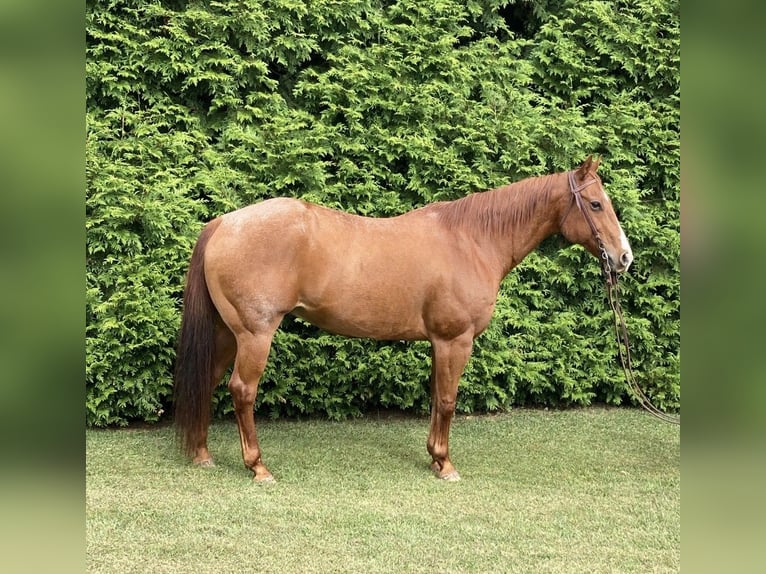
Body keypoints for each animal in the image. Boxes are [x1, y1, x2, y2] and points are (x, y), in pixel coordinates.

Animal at [173, 156, 633, 482]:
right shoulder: (455, 339)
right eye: (595, 204)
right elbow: (447, 400)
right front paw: (446, 465)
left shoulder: (439, 343)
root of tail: (224, 223)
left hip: (227, 332)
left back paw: (202, 455)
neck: (472, 240)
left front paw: (433, 458)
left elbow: (436, 397)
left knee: (208, 381)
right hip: (255, 334)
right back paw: (258, 467)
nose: (624, 258)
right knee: (241, 390)